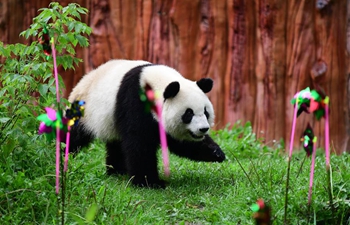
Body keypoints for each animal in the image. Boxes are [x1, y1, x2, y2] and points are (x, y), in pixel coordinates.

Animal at [68, 59, 226, 188]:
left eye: (205, 112)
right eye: (189, 114)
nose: (203, 129)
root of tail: (85, 78)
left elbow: (182, 143)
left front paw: (216, 153)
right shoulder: (134, 103)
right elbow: (139, 144)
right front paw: (150, 182)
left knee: (117, 143)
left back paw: (118, 171)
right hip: (84, 110)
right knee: (74, 135)